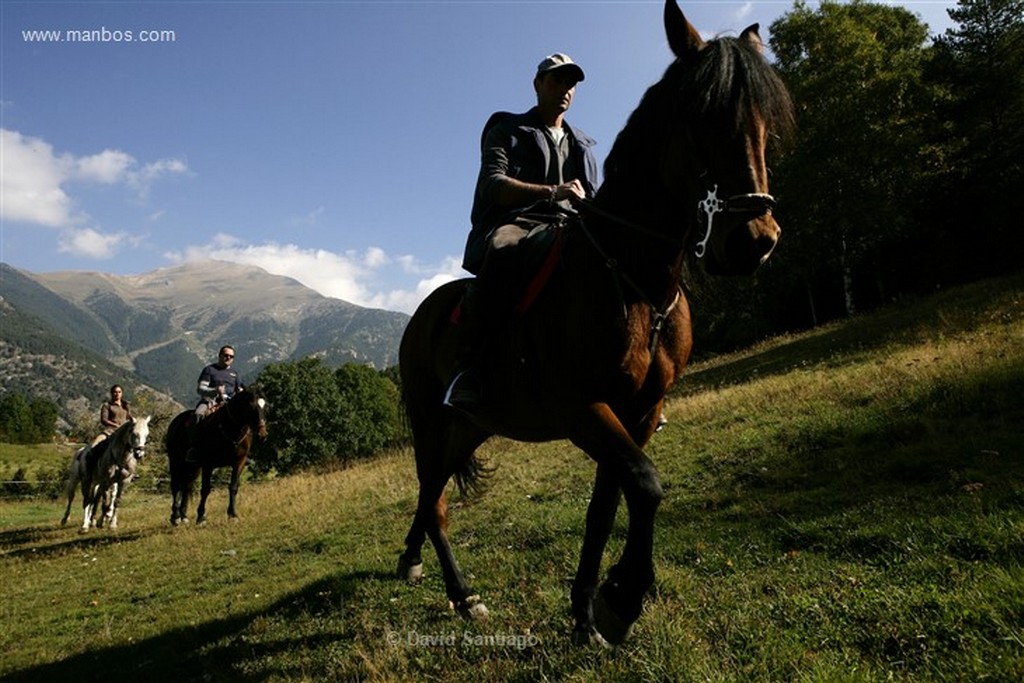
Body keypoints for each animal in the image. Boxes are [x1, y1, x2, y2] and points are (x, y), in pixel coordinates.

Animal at [164, 387, 268, 528]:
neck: (230, 430)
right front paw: (201, 517)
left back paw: (184, 516)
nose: (262, 434)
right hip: (176, 461)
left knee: (187, 485)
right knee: (176, 485)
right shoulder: (208, 465)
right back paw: (175, 517)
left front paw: (233, 515)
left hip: (194, 466)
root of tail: (175, 422)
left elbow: (233, 487)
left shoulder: (239, 462)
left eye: (264, 406)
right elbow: (205, 490)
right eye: (251, 406)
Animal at [393, 0, 790, 647]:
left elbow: (607, 506)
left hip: (469, 426)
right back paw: (461, 592)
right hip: (431, 421)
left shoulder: (640, 411)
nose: (753, 241)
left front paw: (586, 612)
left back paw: (423, 566)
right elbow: (646, 485)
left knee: (437, 497)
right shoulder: (583, 409)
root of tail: (420, 317)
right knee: (431, 499)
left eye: (766, 121)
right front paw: (621, 599)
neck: (630, 277)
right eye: (701, 115)